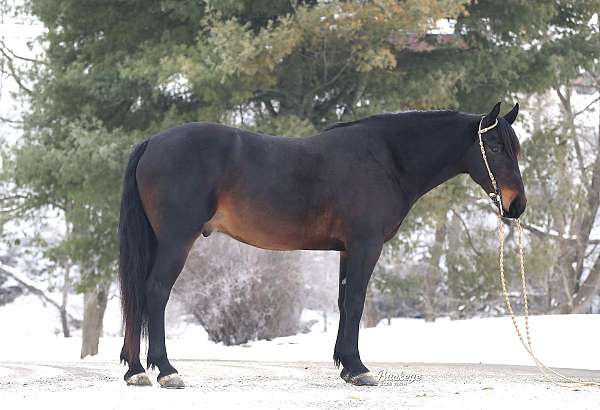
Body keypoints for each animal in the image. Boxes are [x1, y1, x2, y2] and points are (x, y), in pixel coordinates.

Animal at [117, 101, 524, 388]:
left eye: (515, 149)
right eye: (495, 147)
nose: (516, 205)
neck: (386, 159)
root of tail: (152, 142)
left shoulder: (347, 249)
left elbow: (344, 302)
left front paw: (346, 366)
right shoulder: (365, 245)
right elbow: (356, 302)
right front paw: (359, 369)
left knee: (137, 295)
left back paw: (135, 371)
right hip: (176, 240)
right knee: (155, 292)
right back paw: (166, 371)